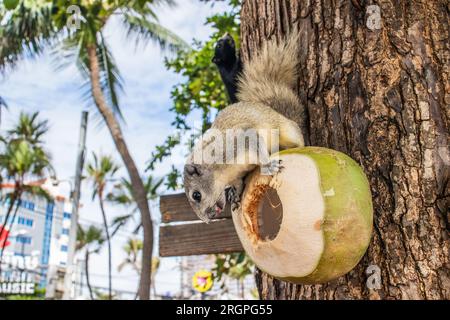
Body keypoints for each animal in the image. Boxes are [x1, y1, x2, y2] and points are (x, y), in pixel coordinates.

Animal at [183, 31, 306, 222]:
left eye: (196, 195)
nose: (208, 218)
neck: (224, 173)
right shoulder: (237, 175)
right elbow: (238, 183)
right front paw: (235, 195)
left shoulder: (241, 139)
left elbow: (257, 146)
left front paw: (268, 166)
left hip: (288, 130)